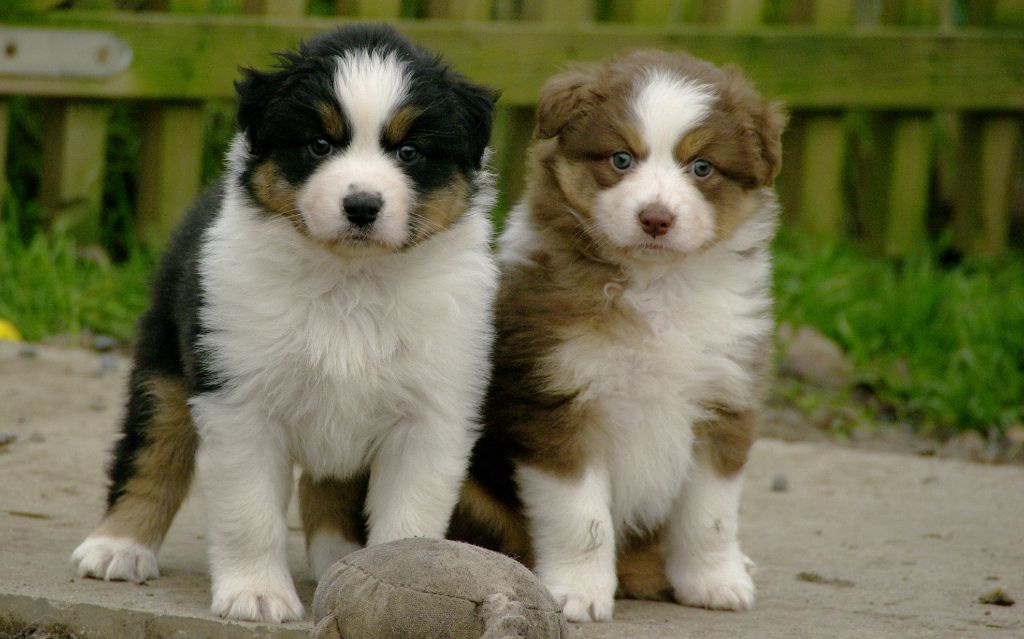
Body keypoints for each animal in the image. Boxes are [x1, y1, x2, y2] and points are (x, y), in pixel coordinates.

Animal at [70, 26, 497, 622]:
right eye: (319, 145)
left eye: (409, 152)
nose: (361, 205)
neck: (350, 282)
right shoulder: (239, 400)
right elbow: (250, 513)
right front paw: (256, 595)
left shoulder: (431, 413)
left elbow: (409, 518)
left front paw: (396, 581)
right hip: (167, 361)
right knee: (152, 450)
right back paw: (118, 547)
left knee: (328, 485)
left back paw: (337, 556)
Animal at [446, 52, 782, 622]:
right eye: (621, 159)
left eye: (702, 168)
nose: (656, 219)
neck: (658, 287)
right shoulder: (556, 401)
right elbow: (582, 517)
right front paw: (577, 593)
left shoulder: (724, 400)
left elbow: (712, 514)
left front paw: (714, 582)